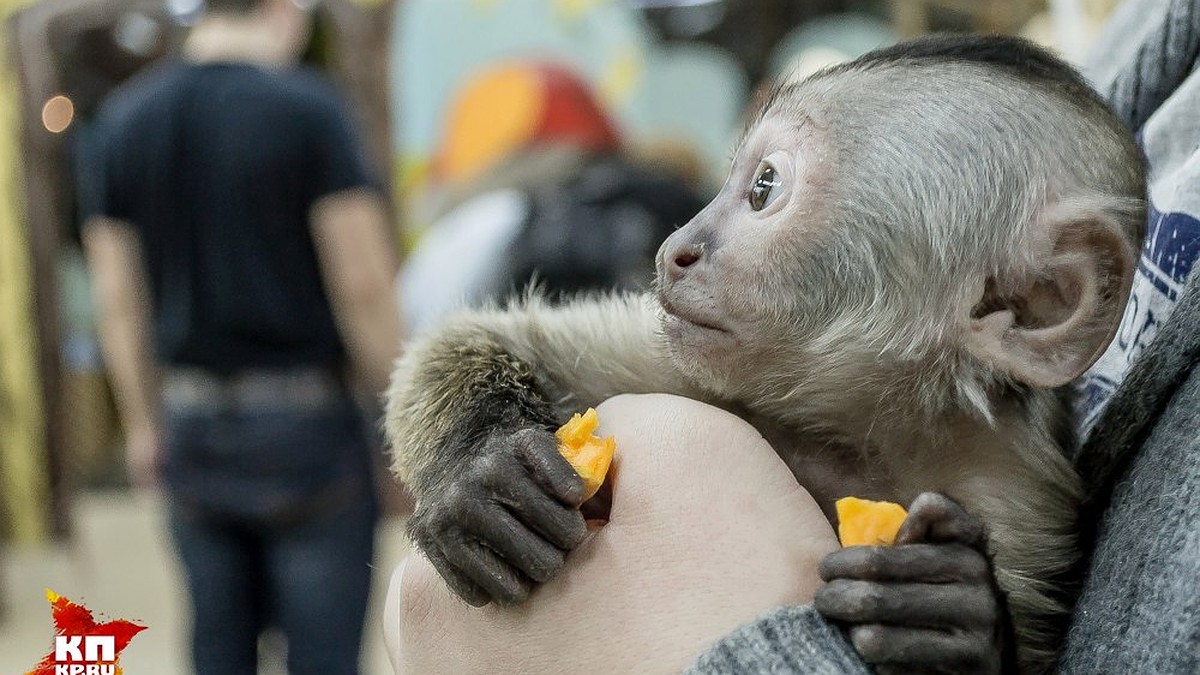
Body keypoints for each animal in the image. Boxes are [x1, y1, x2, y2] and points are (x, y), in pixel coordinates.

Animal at [388, 35, 1147, 672]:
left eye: (763, 188)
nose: (675, 249)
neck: (856, 429)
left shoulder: (1015, 490)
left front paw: (956, 619)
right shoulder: (687, 363)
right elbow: (485, 341)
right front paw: (478, 465)